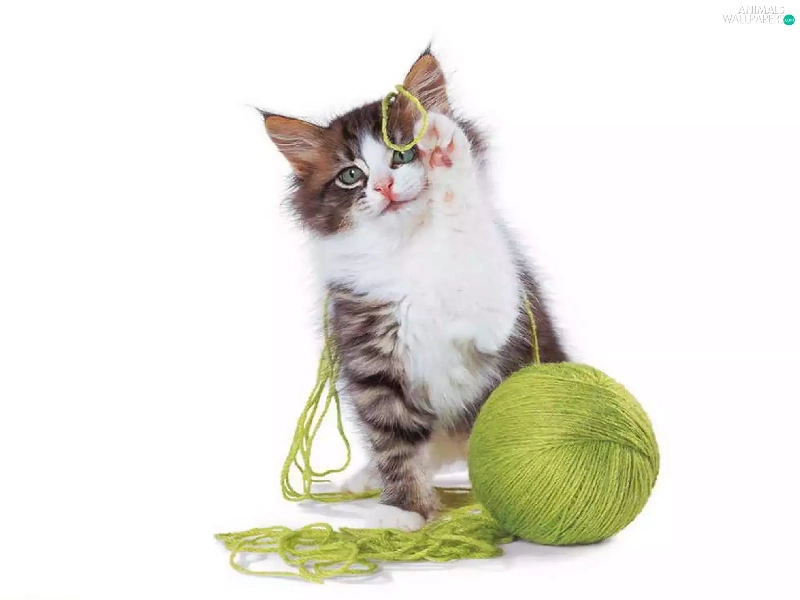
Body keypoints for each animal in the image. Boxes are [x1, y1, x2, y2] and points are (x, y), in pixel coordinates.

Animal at [261, 48, 568, 531]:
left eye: (403, 154)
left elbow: (463, 221)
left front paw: (444, 151)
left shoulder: (496, 313)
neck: (407, 248)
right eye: (351, 175)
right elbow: (394, 441)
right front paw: (405, 511)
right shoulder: (371, 360)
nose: (384, 186)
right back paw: (367, 478)